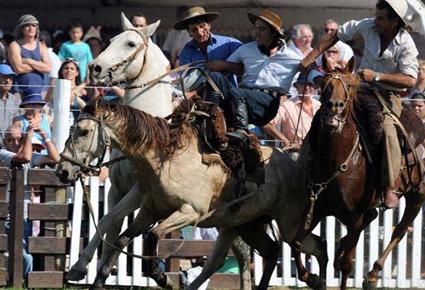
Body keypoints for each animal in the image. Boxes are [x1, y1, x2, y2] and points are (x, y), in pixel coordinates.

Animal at [65, 12, 252, 288]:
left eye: (131, 43)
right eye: (112, 39)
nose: (95, 68)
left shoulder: (137, 193)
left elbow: (110, 220)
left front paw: (80, 267)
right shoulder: (117, 188)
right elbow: (109, 224)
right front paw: (94, 269)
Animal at [290, 59, 424, 290]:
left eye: (350, 85)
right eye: (323, 84)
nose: (334, 107)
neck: (336, 163)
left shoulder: (354, 216)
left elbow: (347, 264)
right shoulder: (315, 208)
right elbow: (296, 243)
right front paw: (314, 279)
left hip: (417, 194)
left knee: (399, 230)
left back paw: (372, 276)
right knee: (373, 218)